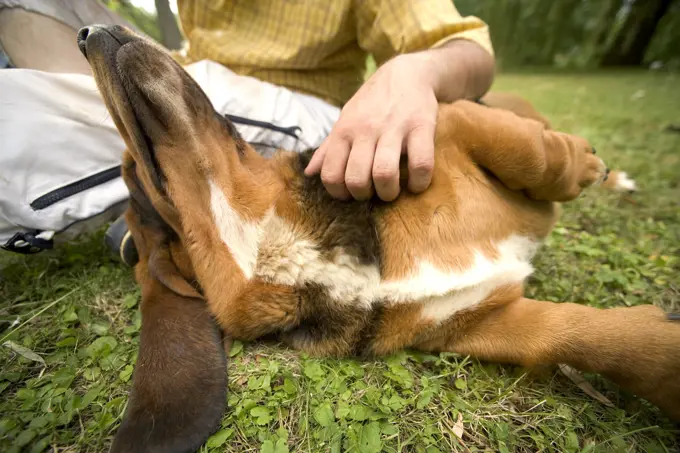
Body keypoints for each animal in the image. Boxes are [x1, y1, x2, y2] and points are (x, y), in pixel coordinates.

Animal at [77, 24, 676, 452]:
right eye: (134, 171)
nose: (88, 33)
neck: (289, 247)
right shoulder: (479, 317)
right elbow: (572, 336)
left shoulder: (449, 124)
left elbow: (527, 154)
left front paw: (578, 167)